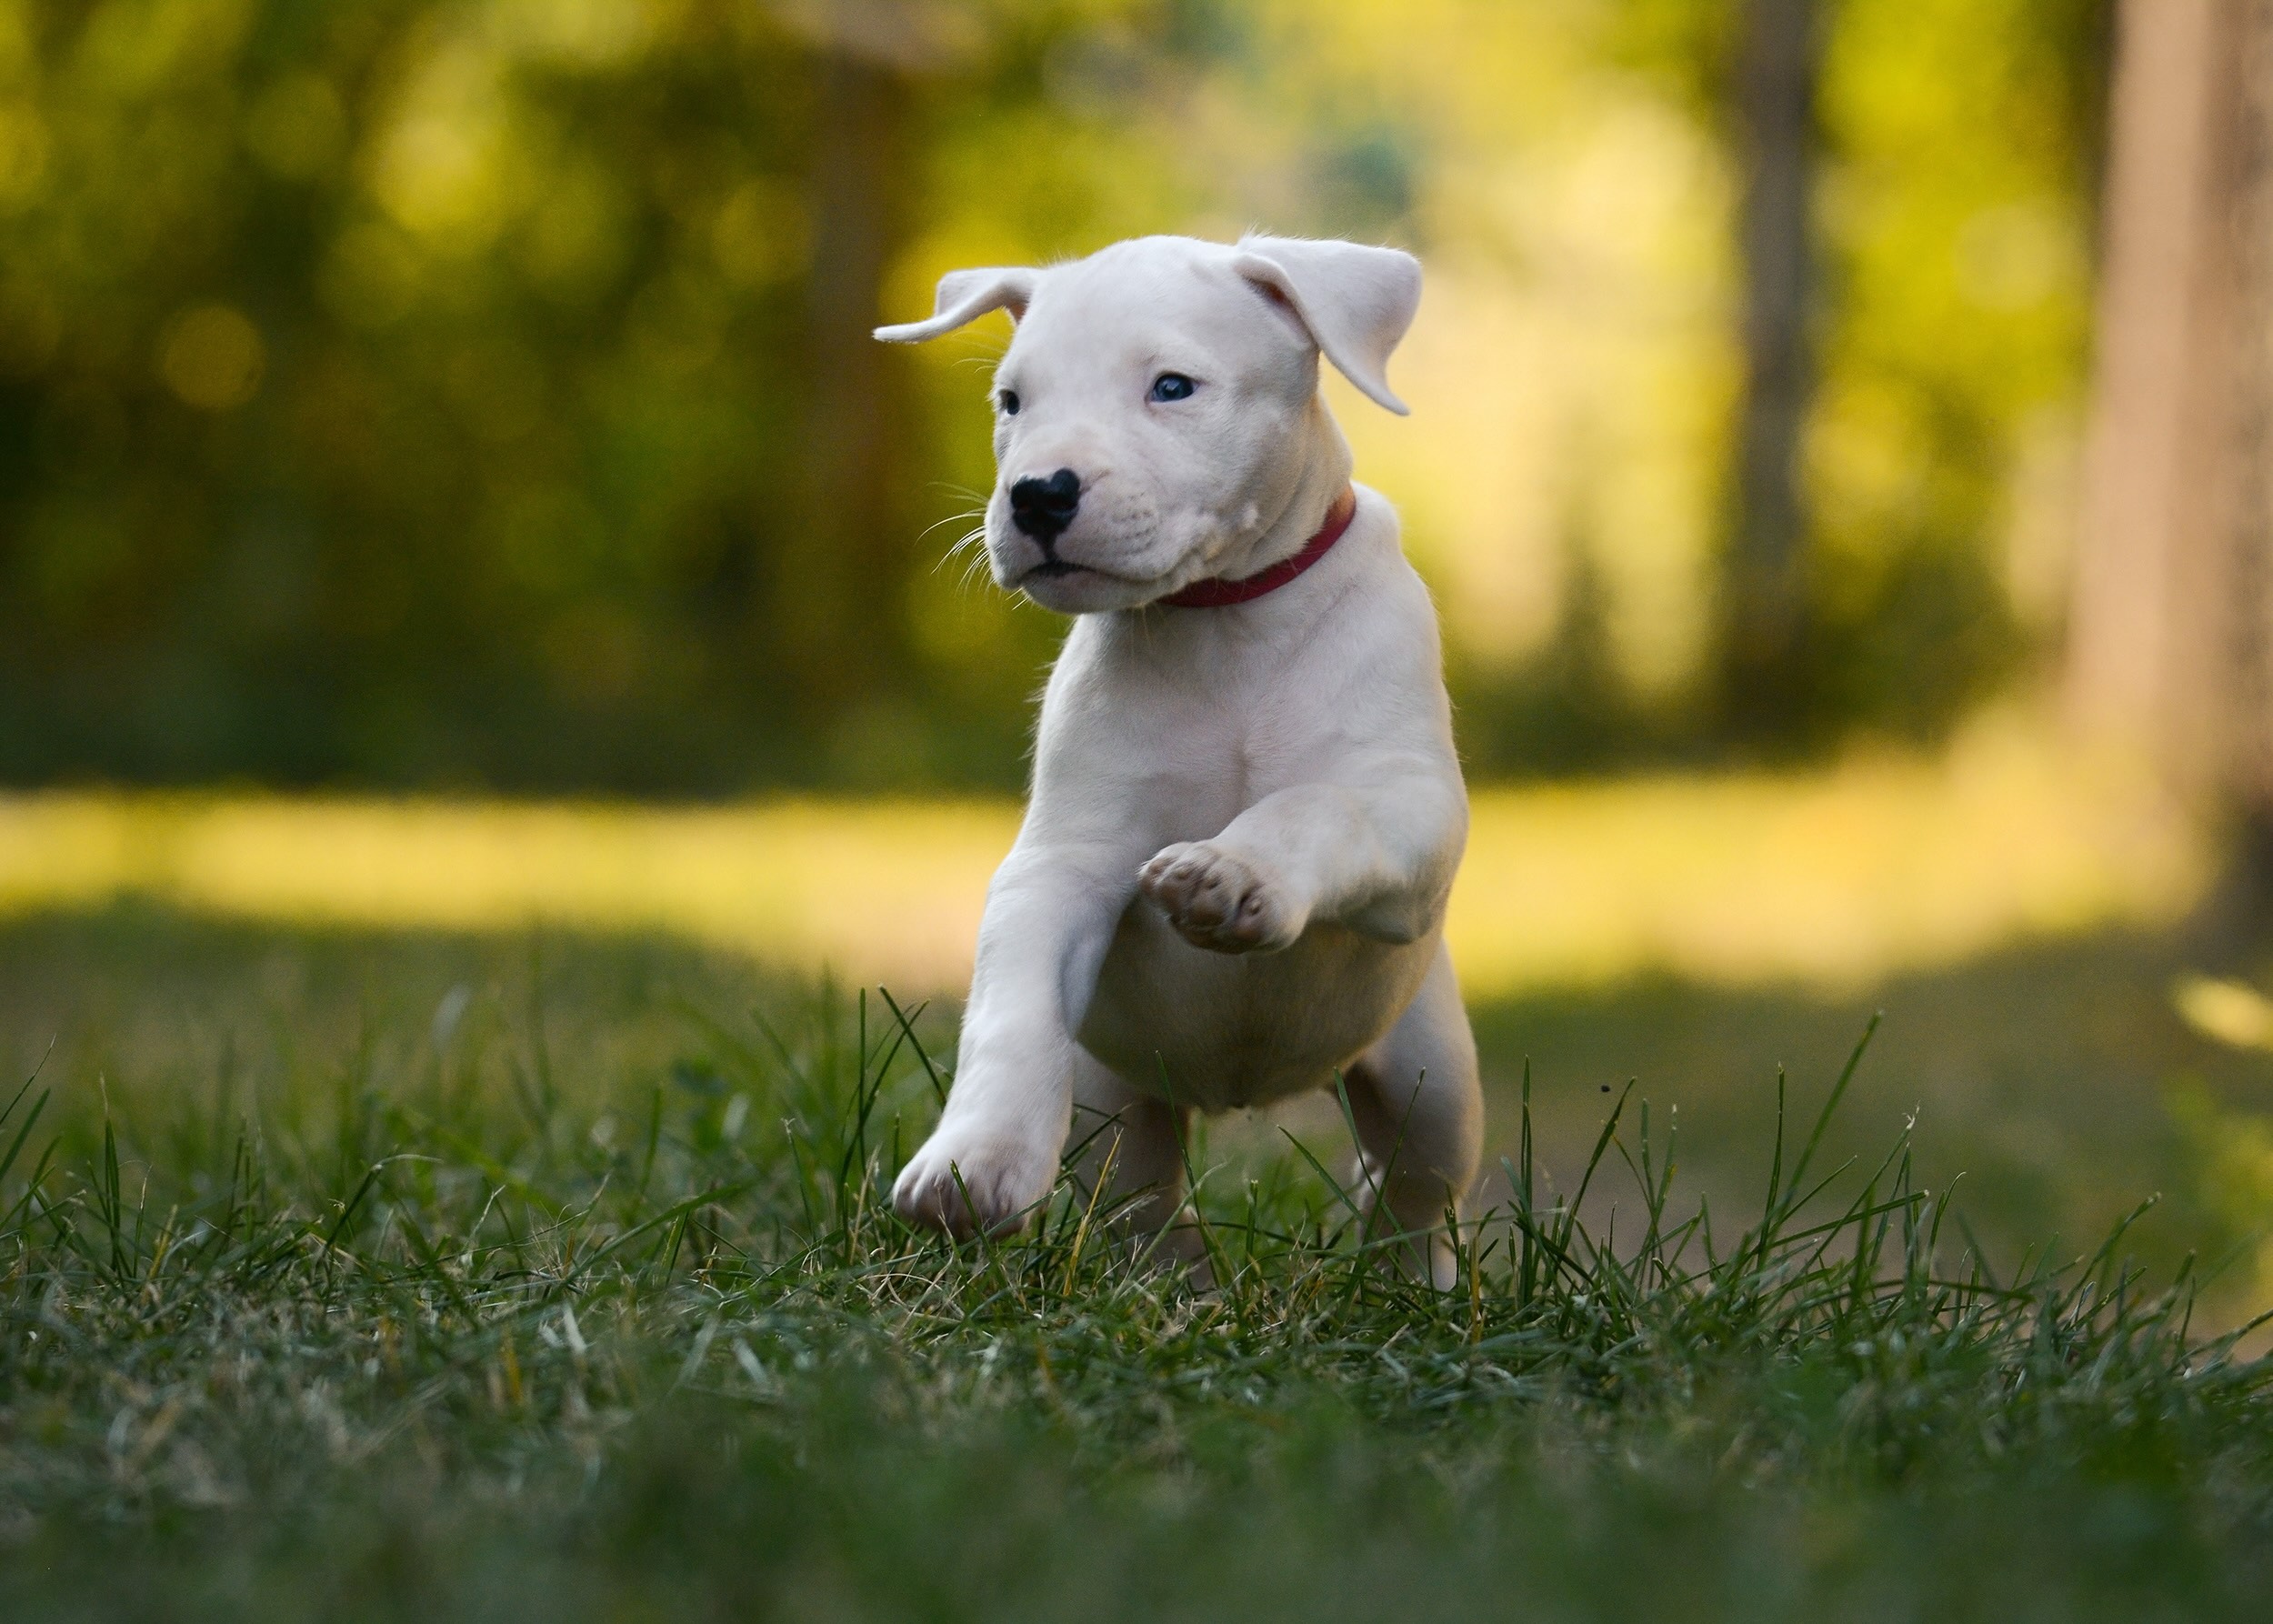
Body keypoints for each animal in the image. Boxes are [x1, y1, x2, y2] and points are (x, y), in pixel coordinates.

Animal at [864, 234, 1473, 1282]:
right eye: (1011, 402)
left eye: (1173, 387)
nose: (1038, 494)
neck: (1227, 625)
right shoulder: (1061, 863)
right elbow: (1009, 1007)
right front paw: (971, 1159)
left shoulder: (1413, 812)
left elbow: (1318, 804)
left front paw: (1232, 872)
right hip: (1110, 1100)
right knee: (1140, 1198)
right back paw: (1173, 1286)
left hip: (1433, 1078)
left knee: (1413, 1191)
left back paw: (1411, 1284)